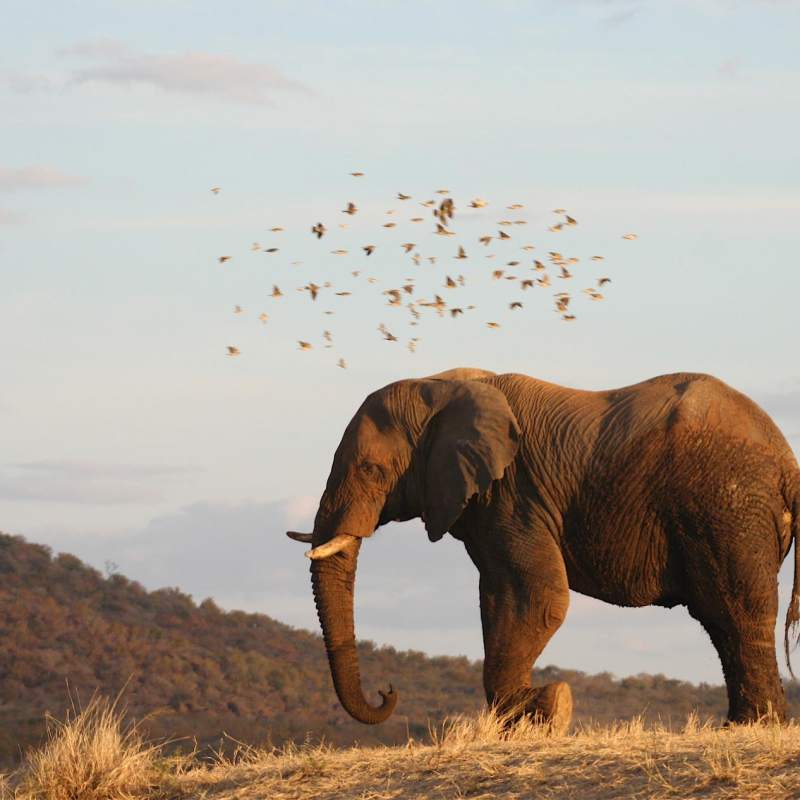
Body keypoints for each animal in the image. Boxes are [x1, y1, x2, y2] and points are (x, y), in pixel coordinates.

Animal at [286, 367, 800, 730]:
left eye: (371, 471)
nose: (386, 692)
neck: (443, 385)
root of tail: (787, 461)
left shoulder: (516, 493)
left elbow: (536, 598)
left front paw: (542, 710)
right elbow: (499, 598)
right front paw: (535, 711)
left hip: (727, 505)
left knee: (735, 609)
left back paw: (753, 725)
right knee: (724, 618)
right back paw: (742, 724)